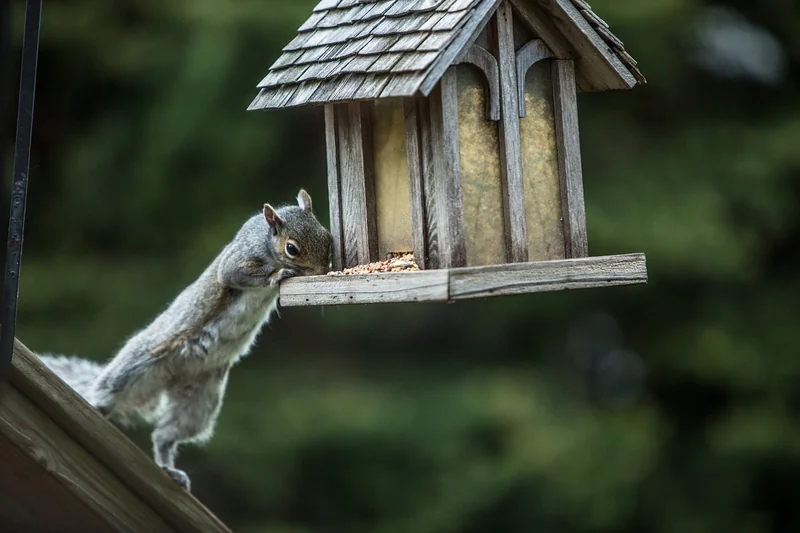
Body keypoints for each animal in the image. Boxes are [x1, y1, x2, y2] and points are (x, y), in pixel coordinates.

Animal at [36, 189, 332, 492]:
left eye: (328, 238)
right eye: (292, 249)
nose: (322, 270)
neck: (266, 239)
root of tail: (172, 376)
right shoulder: (239, 258)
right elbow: (235, 273)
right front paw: (280, 274)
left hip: (199, 401)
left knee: (164, 435)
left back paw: (169, 468)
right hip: (138, 365)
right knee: (107, 391)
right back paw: (95, 404)